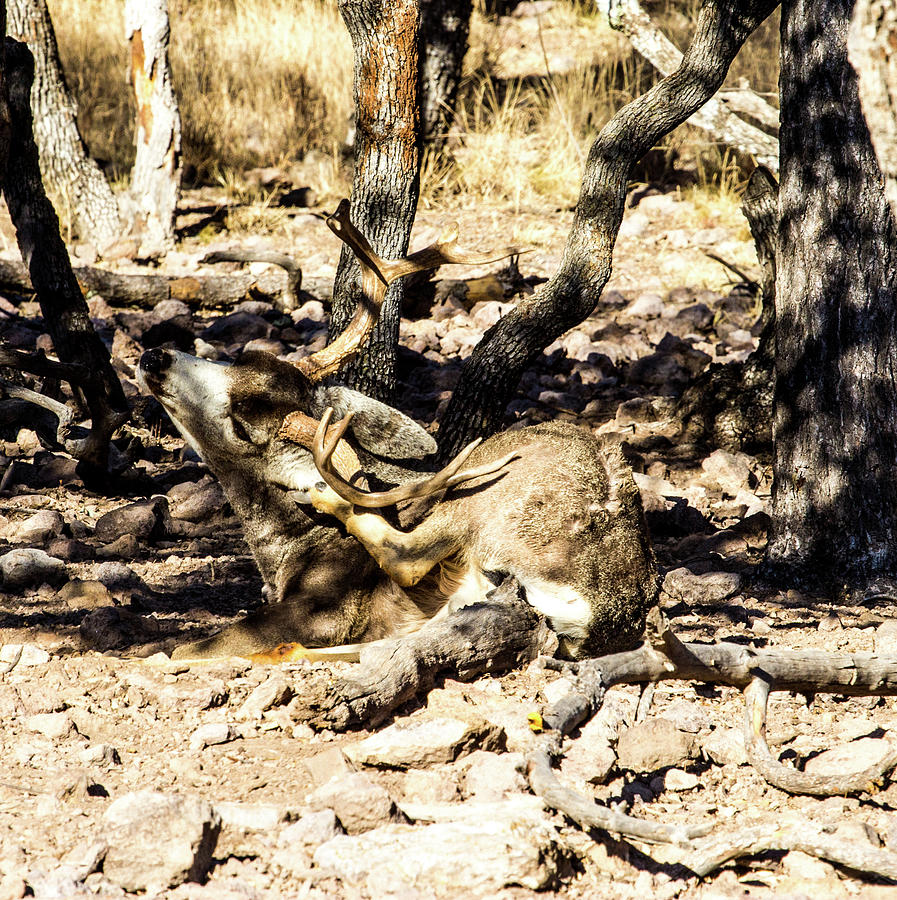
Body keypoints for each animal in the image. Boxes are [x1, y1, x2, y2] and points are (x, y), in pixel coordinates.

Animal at [140, 200, 656, 656]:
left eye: (242, 423)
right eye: (242, 357)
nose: (154, 356)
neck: (285, 550)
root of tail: (602, 610)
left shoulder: (325, 609)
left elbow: (190, 647)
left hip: (492, 495)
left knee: (407, 556)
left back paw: (330, 500)